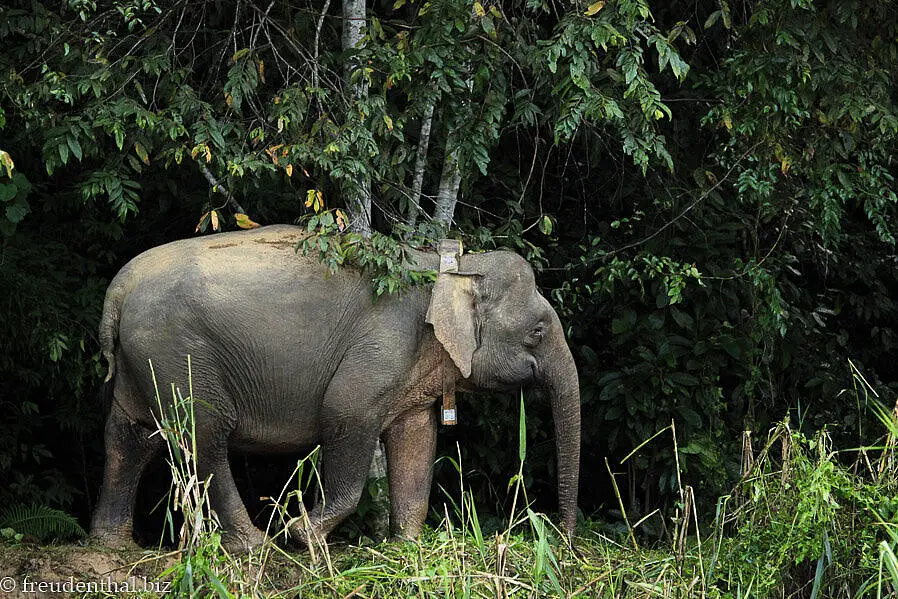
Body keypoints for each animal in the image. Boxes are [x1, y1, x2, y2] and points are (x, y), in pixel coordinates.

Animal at [89, 225, 580, 552]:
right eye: (537, 332)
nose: (563, 542)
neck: (453, 266)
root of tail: (119, 288)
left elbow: (416, 440)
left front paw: (407, 548)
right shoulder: (384, 344)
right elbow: (345, 414)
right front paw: (300, 532)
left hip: (144, 358)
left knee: (128, 436)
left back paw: (111, 545)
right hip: (178, 351)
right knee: (204, 434)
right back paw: (256, 546)